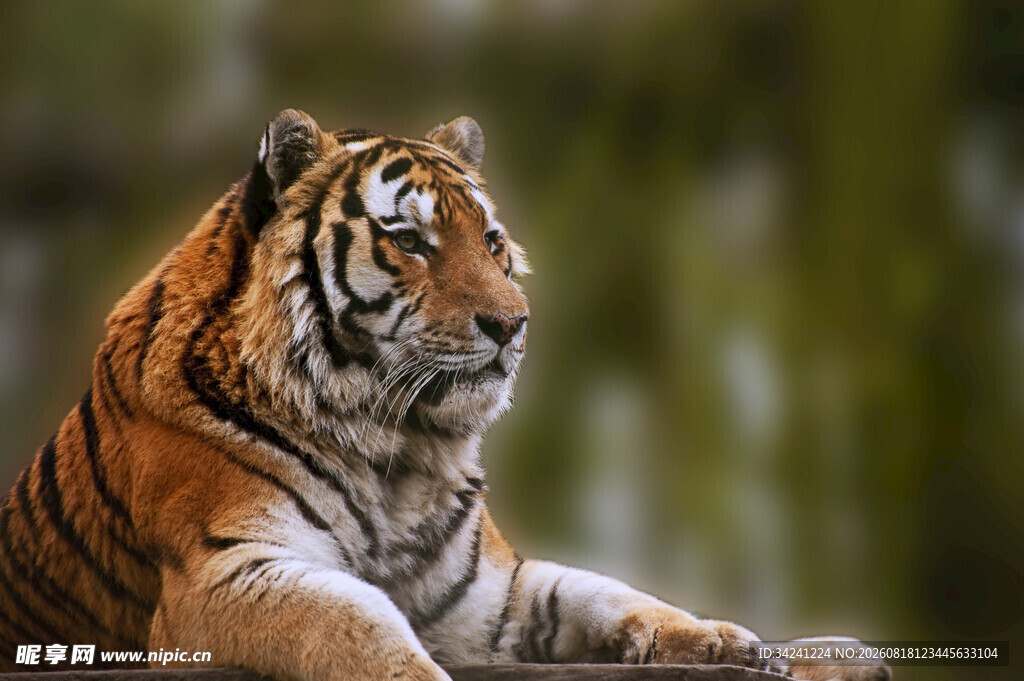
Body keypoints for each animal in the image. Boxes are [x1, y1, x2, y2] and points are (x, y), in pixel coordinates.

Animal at [0, 109, 889, 681]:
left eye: (491, 241)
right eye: (410, 240)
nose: (514, 322)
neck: (397, 446)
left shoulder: (489, 594)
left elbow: (609, 592)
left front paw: (721, 638)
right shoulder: (227, 570)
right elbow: (356, 624)